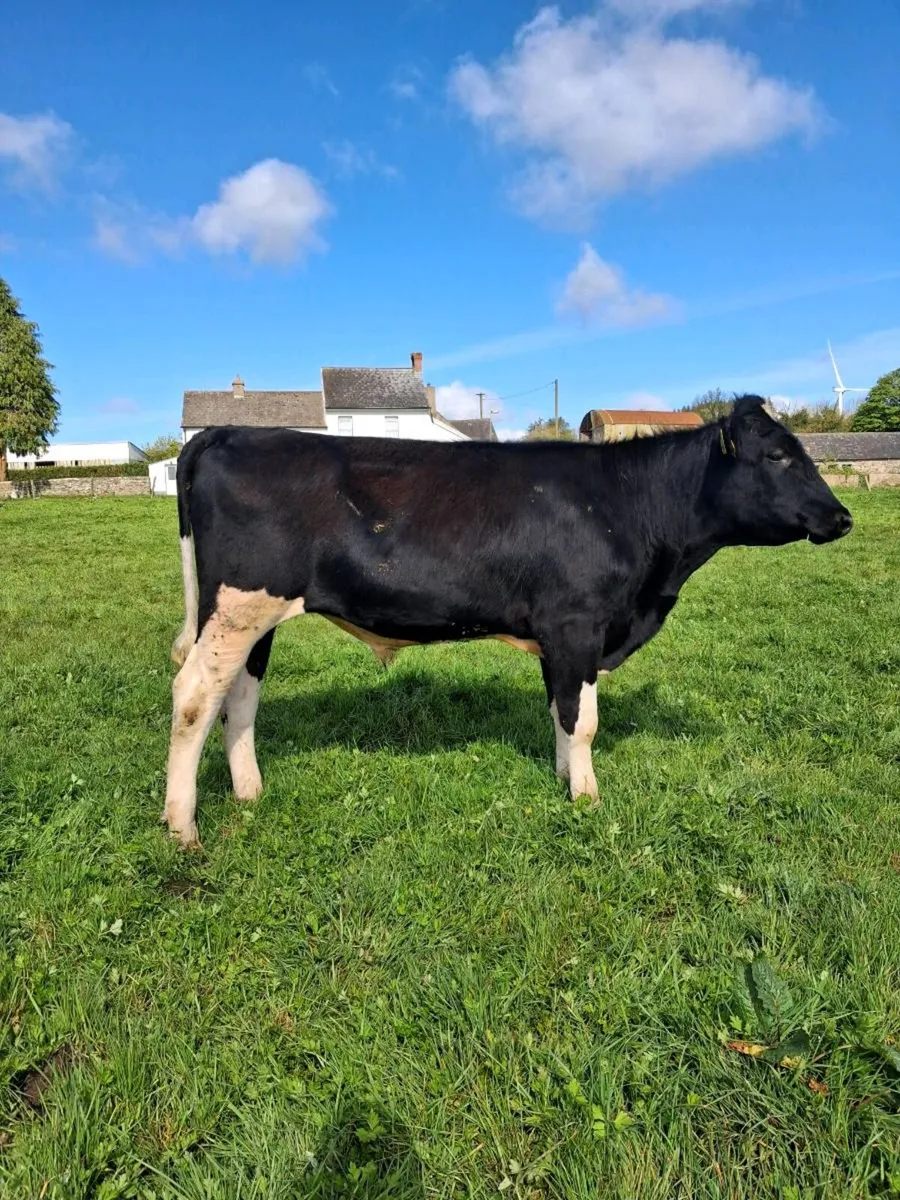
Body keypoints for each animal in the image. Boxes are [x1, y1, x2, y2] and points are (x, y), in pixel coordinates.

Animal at [164, 395, 852, 847]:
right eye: (778, 456)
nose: (843, 517)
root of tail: (223, 433)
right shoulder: (578, 624)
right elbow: (584, 720)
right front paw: (587, 799)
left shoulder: (559, 635)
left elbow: (560, 711)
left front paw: (564, 778)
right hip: (238, 606)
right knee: (195, 695)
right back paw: (182, 826)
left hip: (251, 616)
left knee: (238, 696)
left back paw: (250, 794)